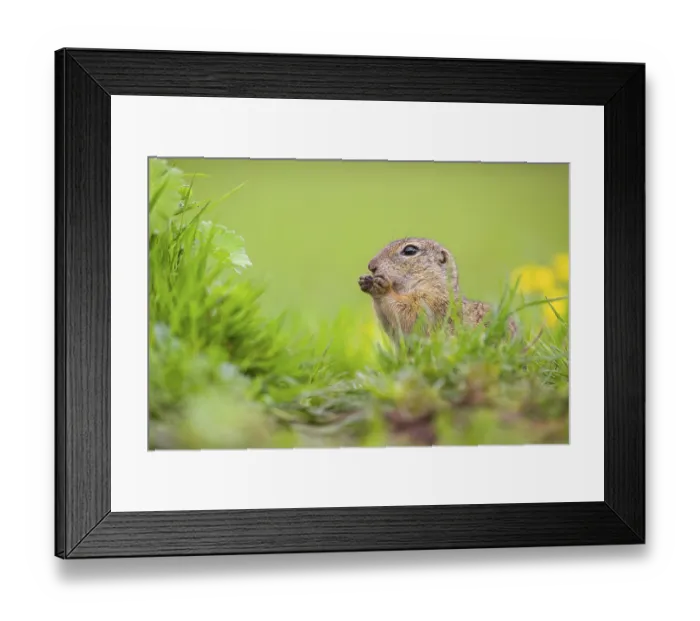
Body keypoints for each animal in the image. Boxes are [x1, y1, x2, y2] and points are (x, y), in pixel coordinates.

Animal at [358, 237, 517, 343]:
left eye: (410, 250)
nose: (371, 266)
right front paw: (365, 281)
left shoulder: (431, 302)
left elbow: (410, 317)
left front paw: (382, 289)